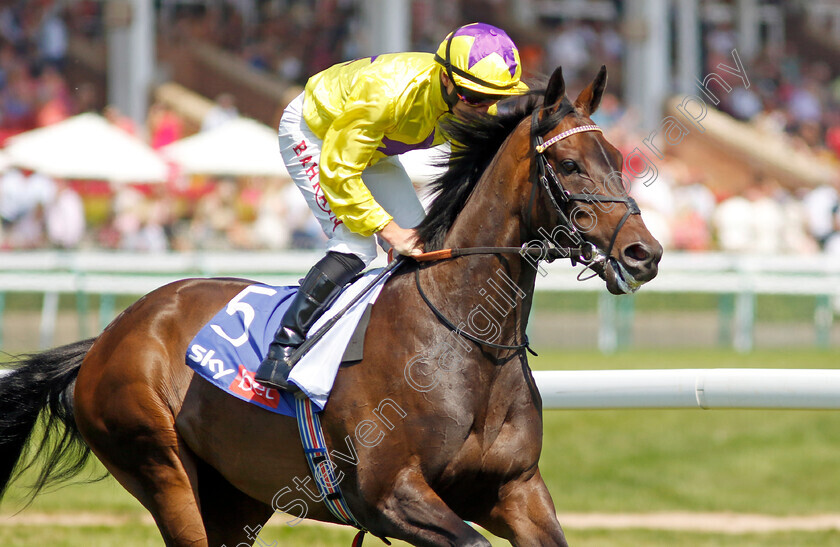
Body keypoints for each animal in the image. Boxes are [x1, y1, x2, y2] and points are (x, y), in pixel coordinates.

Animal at [1, 66, 664, 544]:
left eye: (618, 159)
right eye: (570, 165)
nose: (644, 254)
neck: (464, 340)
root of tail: (107, 337)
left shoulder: (515, 489)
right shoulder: (392, 494)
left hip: (237, 497)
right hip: (162, 468)